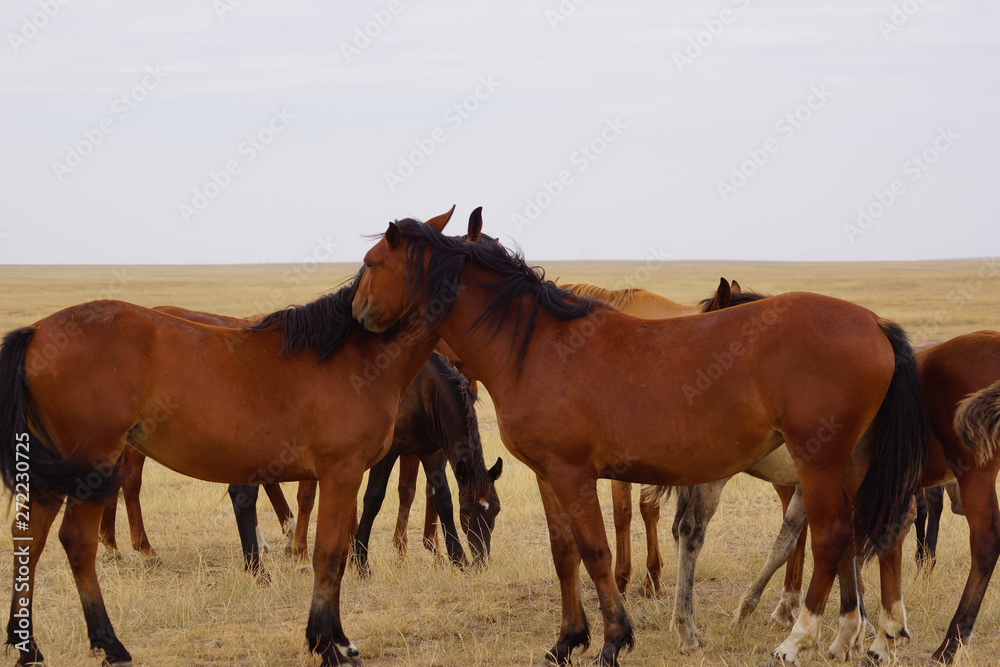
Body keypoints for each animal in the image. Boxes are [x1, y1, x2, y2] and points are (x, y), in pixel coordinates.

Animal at [0, 207, 461, 667]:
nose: (362, 316)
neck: (355, 357)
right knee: (76, 542)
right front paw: (328, 644)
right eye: (370, 261)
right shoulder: (342, 472)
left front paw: (335, 637)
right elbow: (328, 554)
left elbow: (337, 548)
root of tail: (39, 331)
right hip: (92, 464)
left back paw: (29, 646)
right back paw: (110, 642)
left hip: (54, 469)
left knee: (30, 538)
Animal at [351, 214, 926, 665]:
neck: (537, 345)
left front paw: (613, 641)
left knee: (831, 538)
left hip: (819, 462)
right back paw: (862, 639)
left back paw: (798, 640)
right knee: (871, 533)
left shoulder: (575, 474)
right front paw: (566, 641)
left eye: (372, 263)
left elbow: (597, 550)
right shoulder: (546, 475)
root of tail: (875, 322)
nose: (355, 315)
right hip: (853, 466)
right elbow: (564, 553)